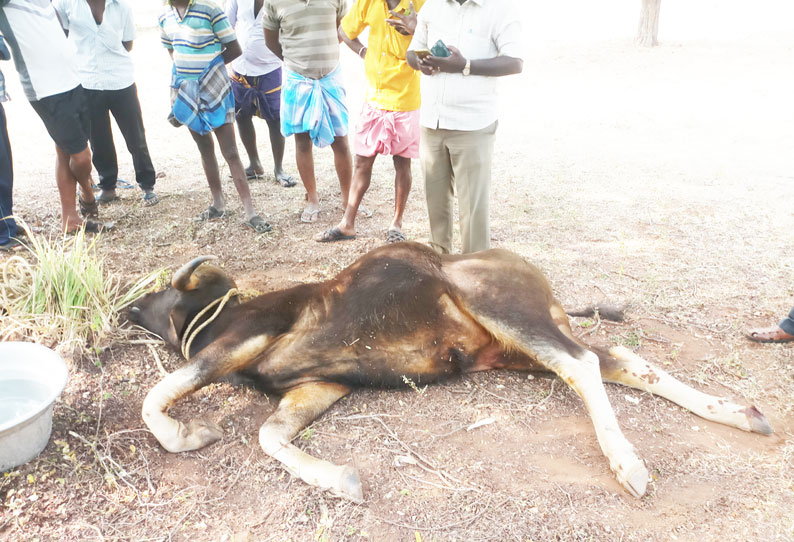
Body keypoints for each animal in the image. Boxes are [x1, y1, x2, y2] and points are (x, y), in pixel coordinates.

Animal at [128, 244, 768, 504]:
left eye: (161, 293)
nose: (126, 307)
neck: (219, 316)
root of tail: (540, 282)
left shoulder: (245, 337)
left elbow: (159, 395)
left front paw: (187, 432)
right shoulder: (319, 385)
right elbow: (270, 435)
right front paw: (340, 480)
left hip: (502, 310)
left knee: (582, 364)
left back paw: (626, 462)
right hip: (517, 350)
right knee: (619, 360)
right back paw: (740, 413)